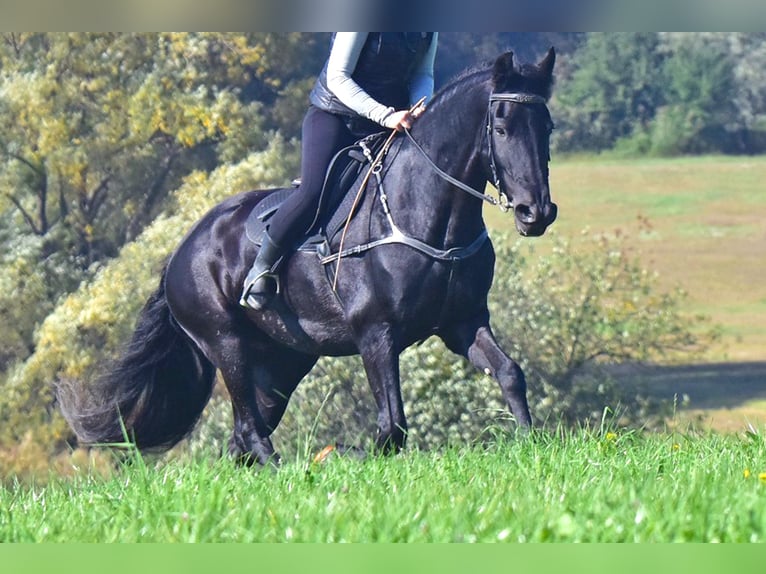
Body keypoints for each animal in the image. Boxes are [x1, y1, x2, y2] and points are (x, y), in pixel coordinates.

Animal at [58, 49, 558, 466]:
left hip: (283, 362)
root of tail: (179, 253)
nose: (537, 213)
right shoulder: (376, 334)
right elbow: (391, 426)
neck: (425, 212)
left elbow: (510, 374)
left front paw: (531, 443)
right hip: (225, 344)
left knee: (241, 441)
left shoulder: (462, 322)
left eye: (547, 127)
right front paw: (344, 454)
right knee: (250, 431)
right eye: (501, 128)